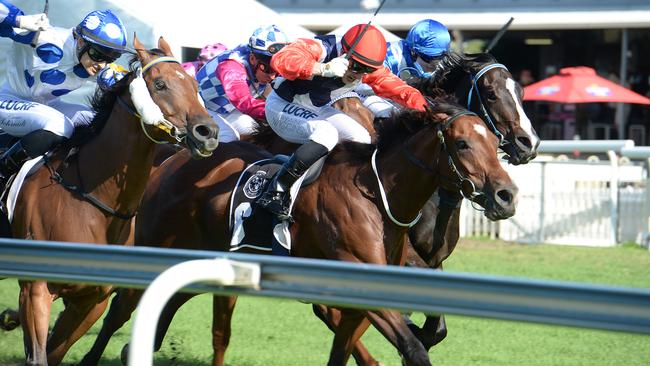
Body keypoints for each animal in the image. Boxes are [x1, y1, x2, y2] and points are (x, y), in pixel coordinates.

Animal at [3, 35, 219, 366]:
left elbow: (55, 352)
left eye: (195, 86)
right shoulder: (36, 289)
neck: (90, 199)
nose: (208, 132)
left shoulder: (91, 301)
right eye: (160, 84)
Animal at [79, 98, 516, 366]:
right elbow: (412, 349)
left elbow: (345, 349)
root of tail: (171, 162)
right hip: (158, 248)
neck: (375, 193)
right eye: (462, 143)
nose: (506, 195)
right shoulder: (355, 271)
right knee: (118, 311)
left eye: (494, 142)